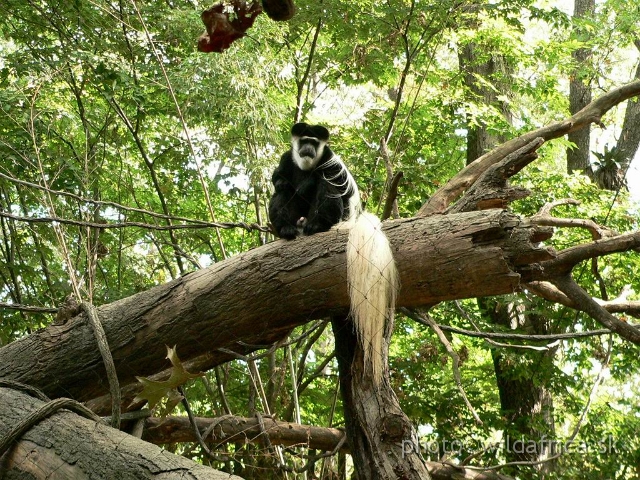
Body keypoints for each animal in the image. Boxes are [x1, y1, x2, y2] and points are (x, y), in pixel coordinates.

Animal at [268, 123, 398, 382]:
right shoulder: (287, 159)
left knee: (325, 186)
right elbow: (279, 180)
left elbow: (327, 183)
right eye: (304, 141)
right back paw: (287, 229)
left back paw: (315, 226)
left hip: (337, 211)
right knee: (284, 192)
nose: (308, 149)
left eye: (314, 143)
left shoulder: (330, 160)